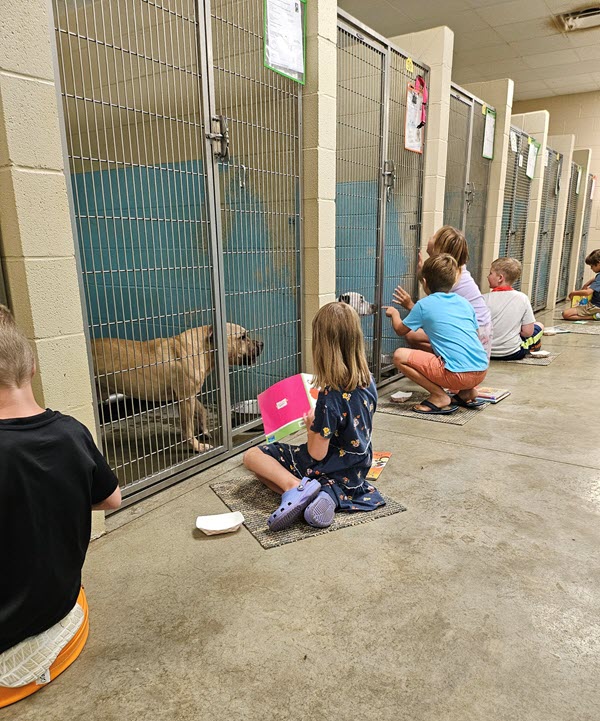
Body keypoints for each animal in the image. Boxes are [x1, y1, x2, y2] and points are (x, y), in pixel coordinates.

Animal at [91, 324, 262, 450]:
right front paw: (197, 446)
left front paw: (204, 430)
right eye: (242, 337)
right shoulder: (186, 398)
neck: (204, 349)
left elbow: (202, 410)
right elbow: (188, 427)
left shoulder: (189, 396)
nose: (262, 343)